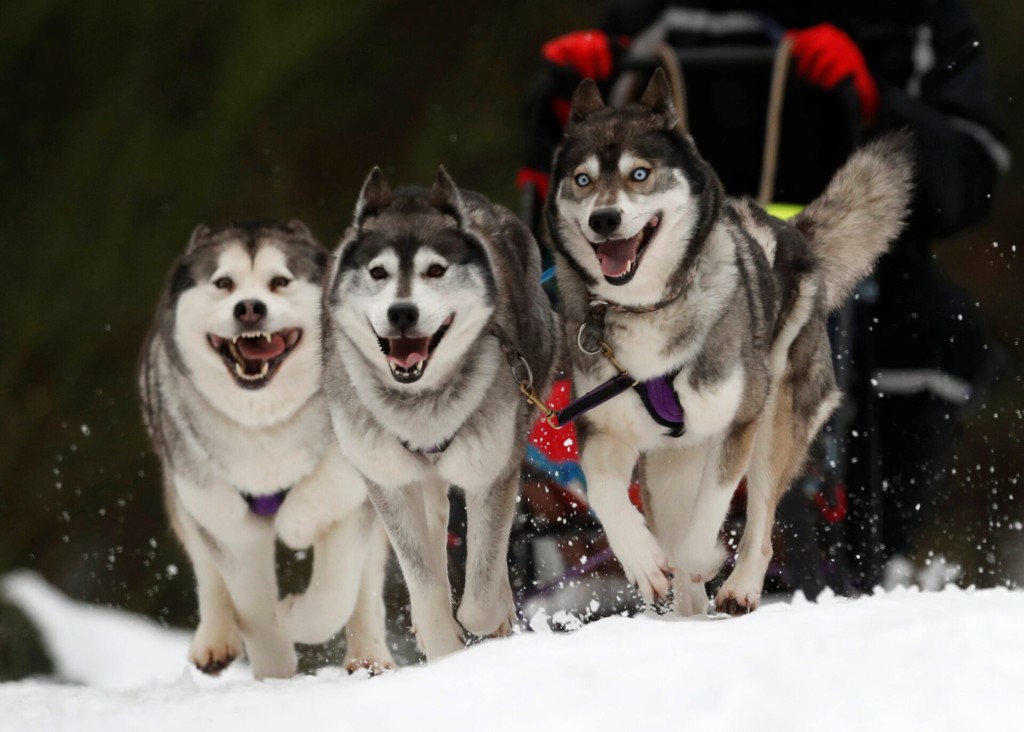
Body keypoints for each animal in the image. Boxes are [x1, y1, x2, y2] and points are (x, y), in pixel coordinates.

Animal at [143, 220, 395, 679]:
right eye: (223, 283)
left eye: (280, 281)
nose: (249, 309)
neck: (264, 422)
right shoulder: (228, 522)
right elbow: (253, 607)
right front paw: (275, 672)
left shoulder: (349, 496)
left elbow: (335, 594)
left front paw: (294, 615)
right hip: (187, 492)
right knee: (206, 570)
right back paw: (215, 640)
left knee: (367, 581)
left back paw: (369, 657)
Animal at [321, 169, 557, 659]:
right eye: (378, 272)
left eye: (435, 270)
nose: (402, 313)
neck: (421, 403)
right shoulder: (387, 481)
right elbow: (423, 576)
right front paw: (440, 638)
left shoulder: (491, 470)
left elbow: (484, 588)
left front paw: (489, 618)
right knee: (434, 528)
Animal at [544, 71, 913, 614]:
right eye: (583, 180)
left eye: (640, 174)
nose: (604, 219)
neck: (648, 307)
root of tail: (794, 232)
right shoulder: (600, 428)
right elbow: (608, 497)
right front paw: (643, 561)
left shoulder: (737, 423)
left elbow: (704, 526)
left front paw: (707, 557)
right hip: (668, 464)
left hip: (774, 423)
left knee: (760, 520)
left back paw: (738, 586)